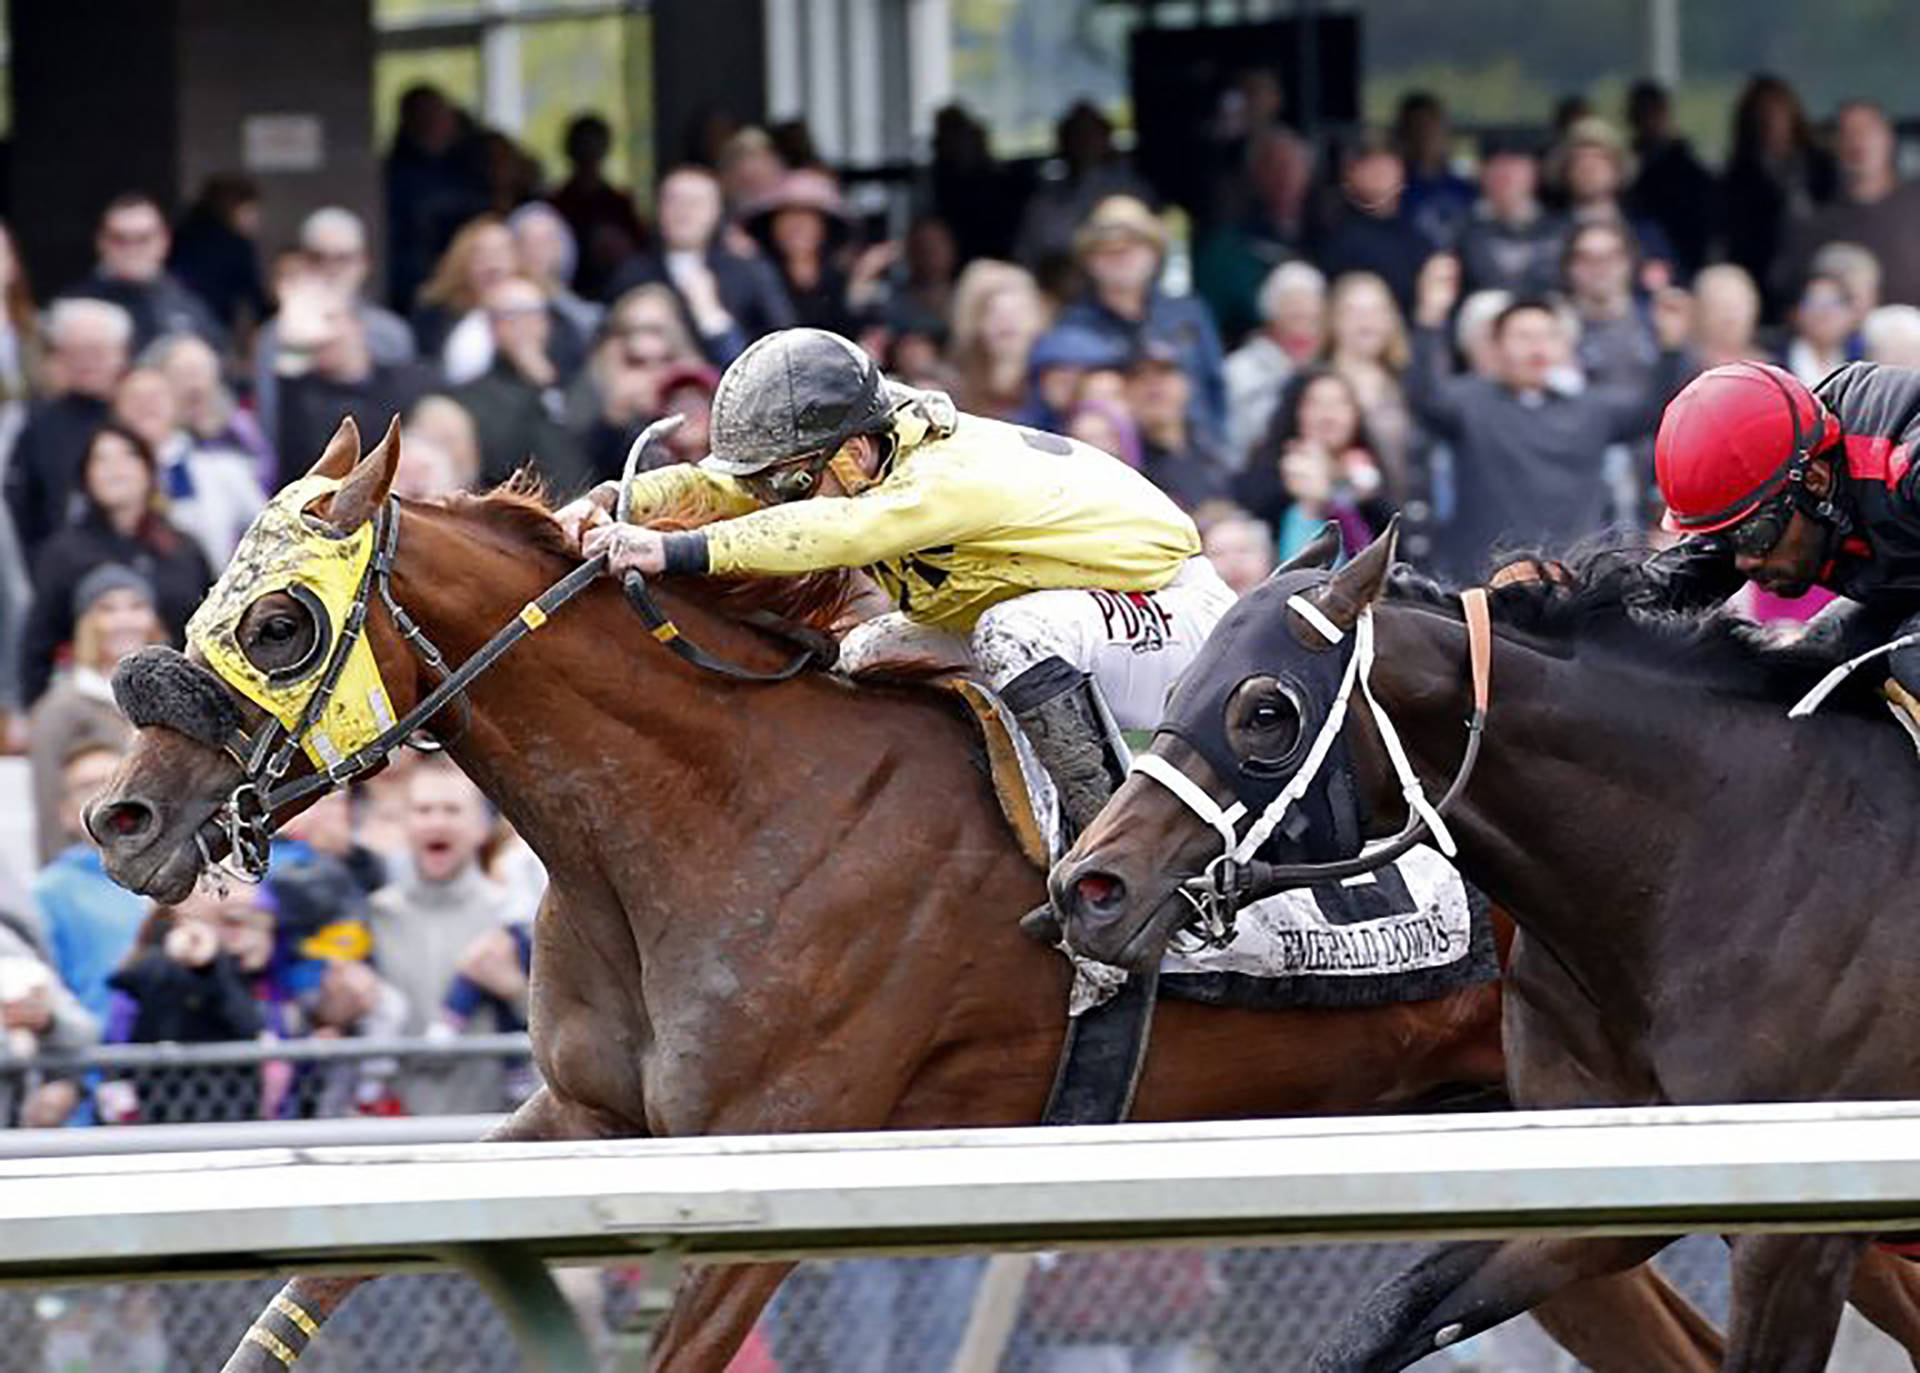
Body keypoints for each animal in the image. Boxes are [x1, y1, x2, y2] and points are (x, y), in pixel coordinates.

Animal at [97, 424, 1751, 1367]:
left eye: (280, 616)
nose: (121, 818)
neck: (713, 809)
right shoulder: (581, 1121)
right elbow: (314, 1276)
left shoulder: (775, 1167)